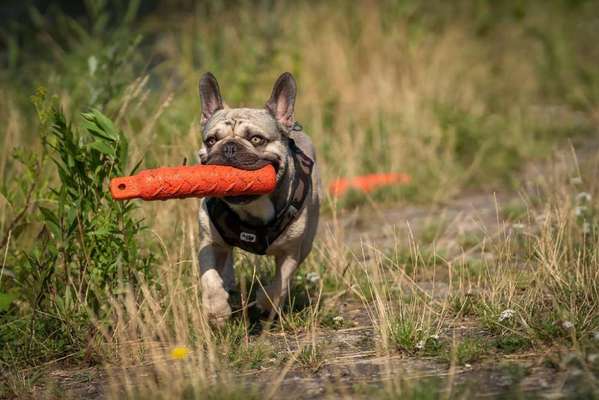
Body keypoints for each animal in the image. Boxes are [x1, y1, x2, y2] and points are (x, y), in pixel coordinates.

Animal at [197, 71, 322, 322]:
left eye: (256, 139)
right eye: (211, 141)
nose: (229, 147)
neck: (251, 209)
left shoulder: (290, 252)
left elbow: (279, 283)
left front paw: (266, 302)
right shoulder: (209, 242)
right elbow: (210, 277)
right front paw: (216, 309)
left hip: (306, 243)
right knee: (225, 262)